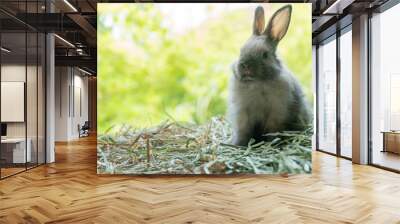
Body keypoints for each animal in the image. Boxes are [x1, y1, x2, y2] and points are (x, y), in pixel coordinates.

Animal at [227, 5, 310, 146]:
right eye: (241, 51)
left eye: (265, 55)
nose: (245, 65)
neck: (257, 83)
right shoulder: (242, 113)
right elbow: (243, 131)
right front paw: (239, 144)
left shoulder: (276, 113)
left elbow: (272, 130)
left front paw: (273, 143)